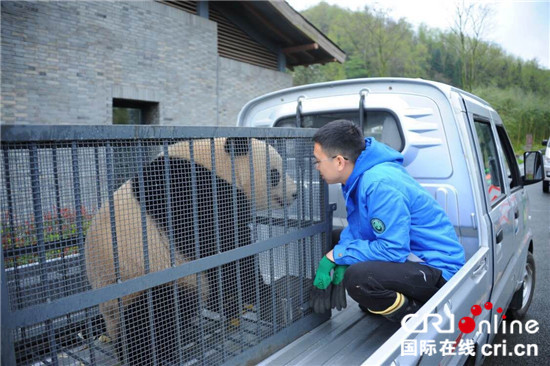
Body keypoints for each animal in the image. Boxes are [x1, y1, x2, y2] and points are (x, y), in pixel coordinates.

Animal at [86, 137, 300, 366]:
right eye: (275, 173)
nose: (295, 193)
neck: (216, 163)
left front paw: (234, 301)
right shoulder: (187, 192)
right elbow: (223, 248)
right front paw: (259, 291)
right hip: (135, 283)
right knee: (153, 318)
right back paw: (155, 355)